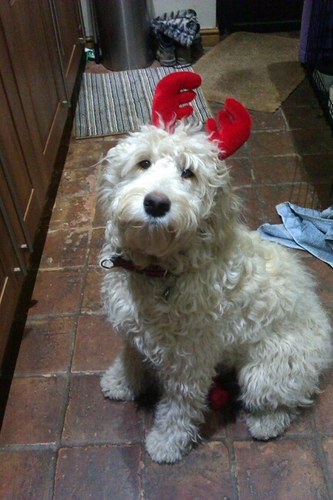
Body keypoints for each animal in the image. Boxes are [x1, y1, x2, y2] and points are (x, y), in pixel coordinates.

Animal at [97, 72, 330, 462]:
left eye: (188, 173)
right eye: (144, 163)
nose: (156, 203)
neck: (160, 269)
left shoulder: (189, 360)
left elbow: (179, 407)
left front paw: (167, 443)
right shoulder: (133, 329)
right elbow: (131, 356)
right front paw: (121, 382)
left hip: (267, 369)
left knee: (288, 400)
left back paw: (266, 422)